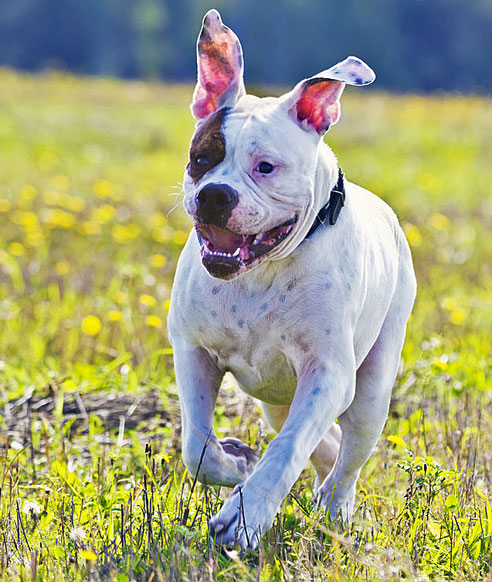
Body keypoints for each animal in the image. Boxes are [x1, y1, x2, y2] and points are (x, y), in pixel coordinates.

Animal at [167, 6, 418, 548]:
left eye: (266, 167)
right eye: (202, 158)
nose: (215, 194)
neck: (258, 275)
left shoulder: (327, 375)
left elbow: (286, 453)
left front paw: (244, 517)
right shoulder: (193, 353)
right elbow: (196, 443)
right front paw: (235, 465)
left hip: (370, 391)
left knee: (346, 458)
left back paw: (334, 508)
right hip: (275, 397)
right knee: (321, 441)